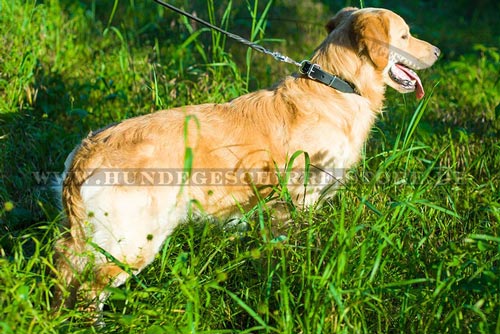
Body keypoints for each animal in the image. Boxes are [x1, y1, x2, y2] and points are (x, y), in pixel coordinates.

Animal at [52, 7, 440, 316]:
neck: (337, 85)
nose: (437, 51)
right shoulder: (299, 202)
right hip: (133, 243)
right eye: (405, 35)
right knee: (88, 291)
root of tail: (85, 153)